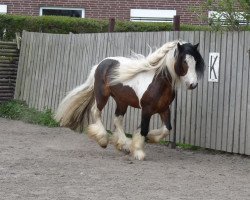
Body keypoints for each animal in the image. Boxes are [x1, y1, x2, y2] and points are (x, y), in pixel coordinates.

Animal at [54, 39, 203, 160]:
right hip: (102, 96)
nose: (193, 84)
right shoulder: (147, 110)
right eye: (184, 61)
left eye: (196, 62)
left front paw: (149, 138)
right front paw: (138, 152)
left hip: (122, 101)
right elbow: (143, 129)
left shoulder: (164, 109)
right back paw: (103, 140)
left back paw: (123, 145)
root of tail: (101, 64)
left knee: (117, 120)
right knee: (96, 112)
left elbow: (167, 128)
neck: (158, 82)